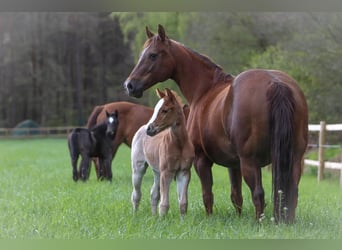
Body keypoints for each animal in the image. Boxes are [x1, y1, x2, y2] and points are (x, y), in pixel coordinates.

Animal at [124, 23, 308, 223]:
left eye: (153, 55)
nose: (129, 85)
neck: (205, 89)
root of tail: (275, 83)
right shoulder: (234, 165)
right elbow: (236, 195)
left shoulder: (201, 160)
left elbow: (207, 194)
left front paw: (209, 219)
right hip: (293, 159)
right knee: (292, 192)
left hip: (250, 162)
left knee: (258, 194)